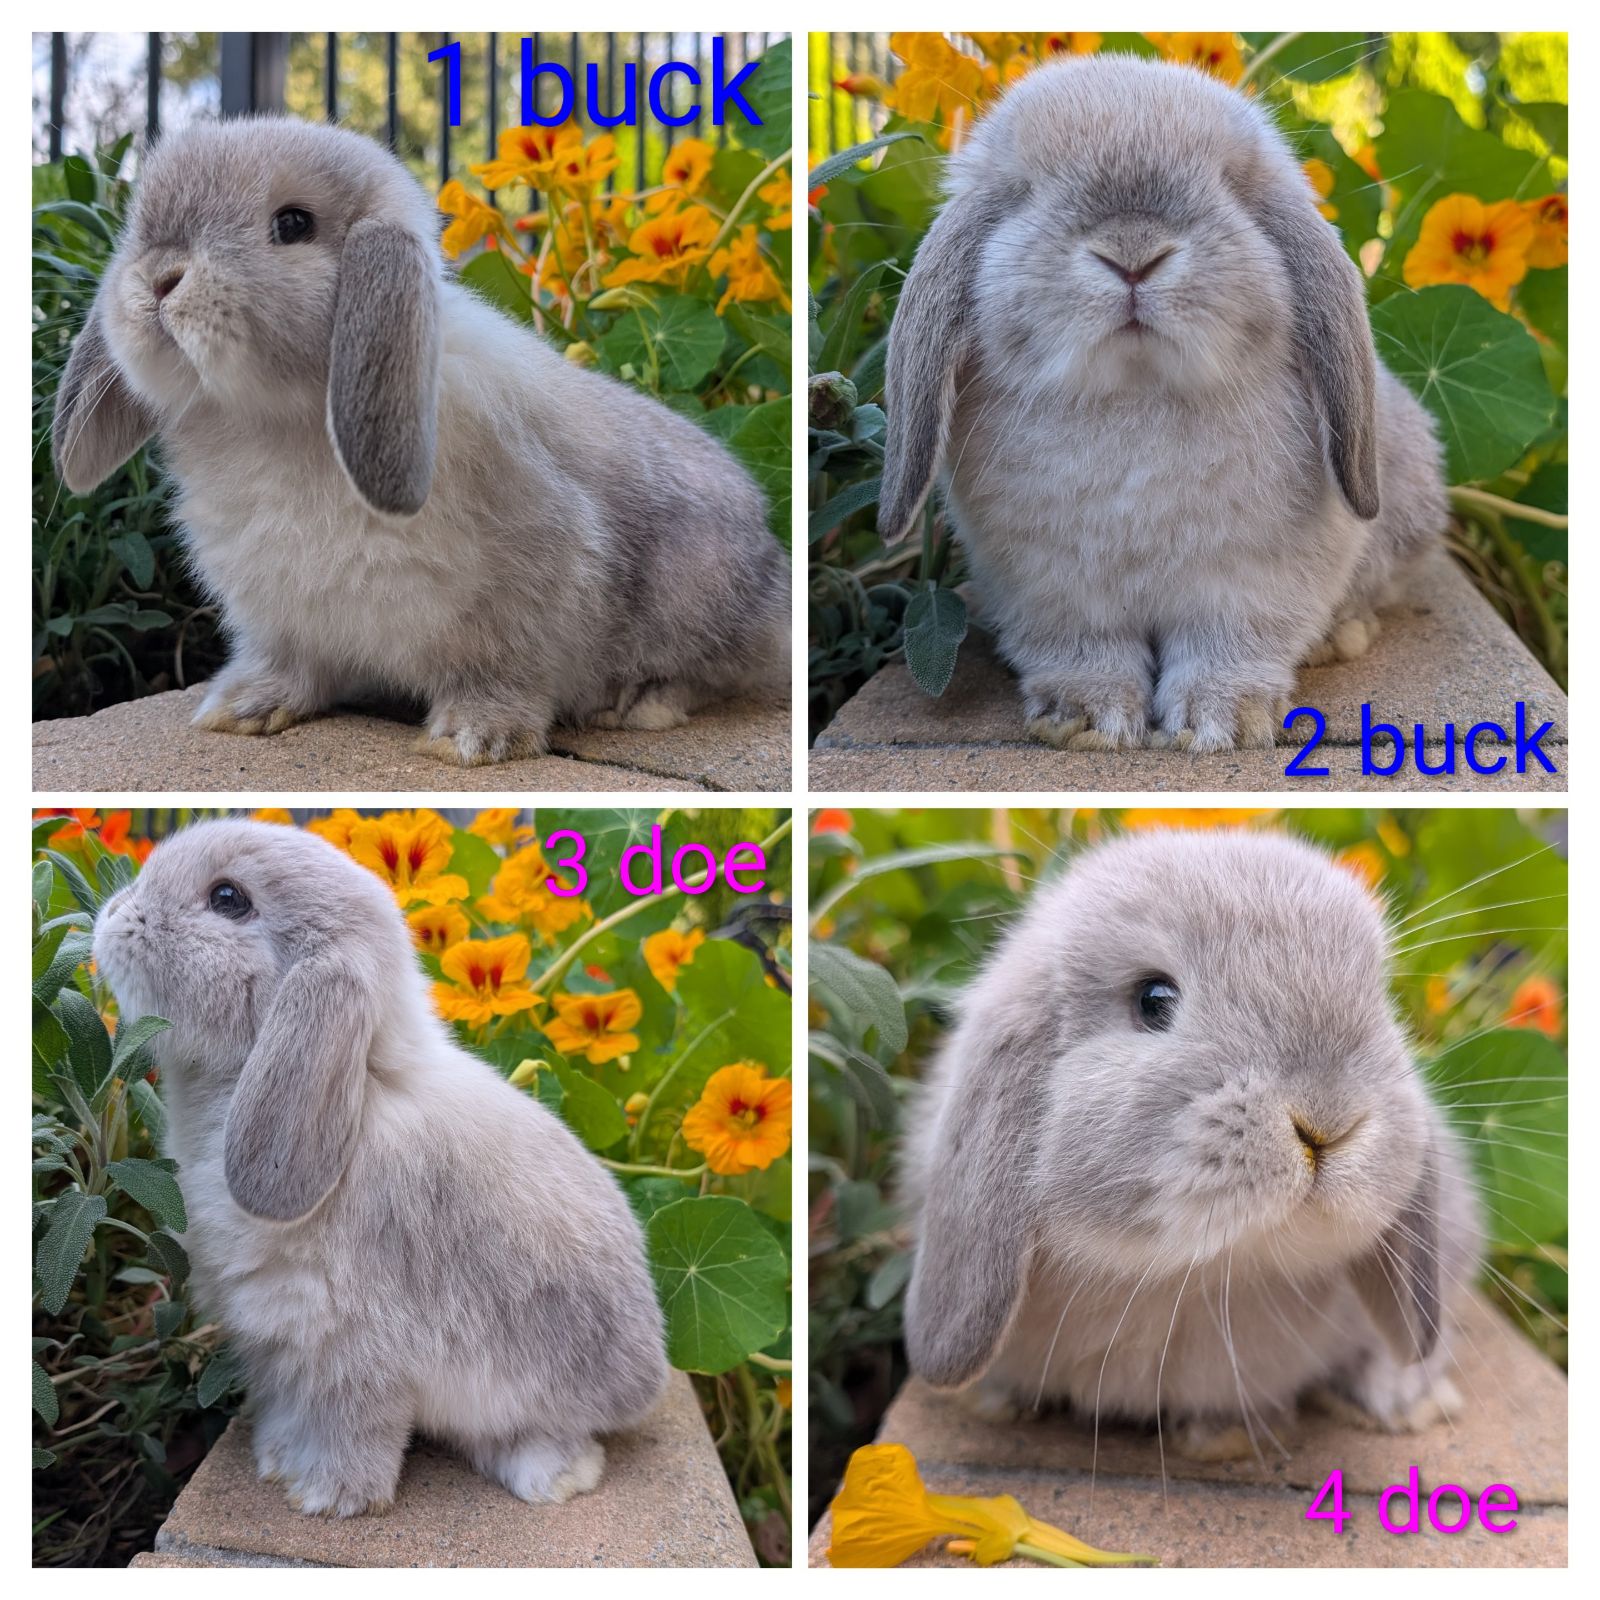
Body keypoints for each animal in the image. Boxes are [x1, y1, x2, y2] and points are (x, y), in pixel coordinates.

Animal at [52, 117, 790, 766]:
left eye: (292, 225)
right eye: (139, 226)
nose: (158, 279)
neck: (282, 418)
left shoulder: (531, 591)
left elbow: (503, 675)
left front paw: (473, 741)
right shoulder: (280, 616)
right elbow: (291, 667)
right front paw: (241, 710)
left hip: (698, 592)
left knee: (711, 672)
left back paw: (636, 702)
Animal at [91, 819, 668, 1516]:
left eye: (228, 899)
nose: (114, 915)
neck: (362, 1087)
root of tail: (649, 1374)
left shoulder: (353, 1348)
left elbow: (354, 1430)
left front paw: (328, 1497)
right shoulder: (285, 1349)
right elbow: (291, 1410)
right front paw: (276, 1461)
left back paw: (551, 1477)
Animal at [879, 55, 1448, 753]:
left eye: (1232, 184)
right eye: (1023, 190)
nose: (1132, 254)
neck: (1137, 394)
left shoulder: (1252, 584)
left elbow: (1228, 647)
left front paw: (1219, 723)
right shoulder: (1052, 589)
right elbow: (1083, 652)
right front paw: (1084, 720)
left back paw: (1337, 637)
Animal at [901, 828, 1480, 1460]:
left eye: (1380, 1003)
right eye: (1153, 999)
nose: (1327, 1121)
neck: (1181, 1279)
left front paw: (1222, 1437)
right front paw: (994, 1402)